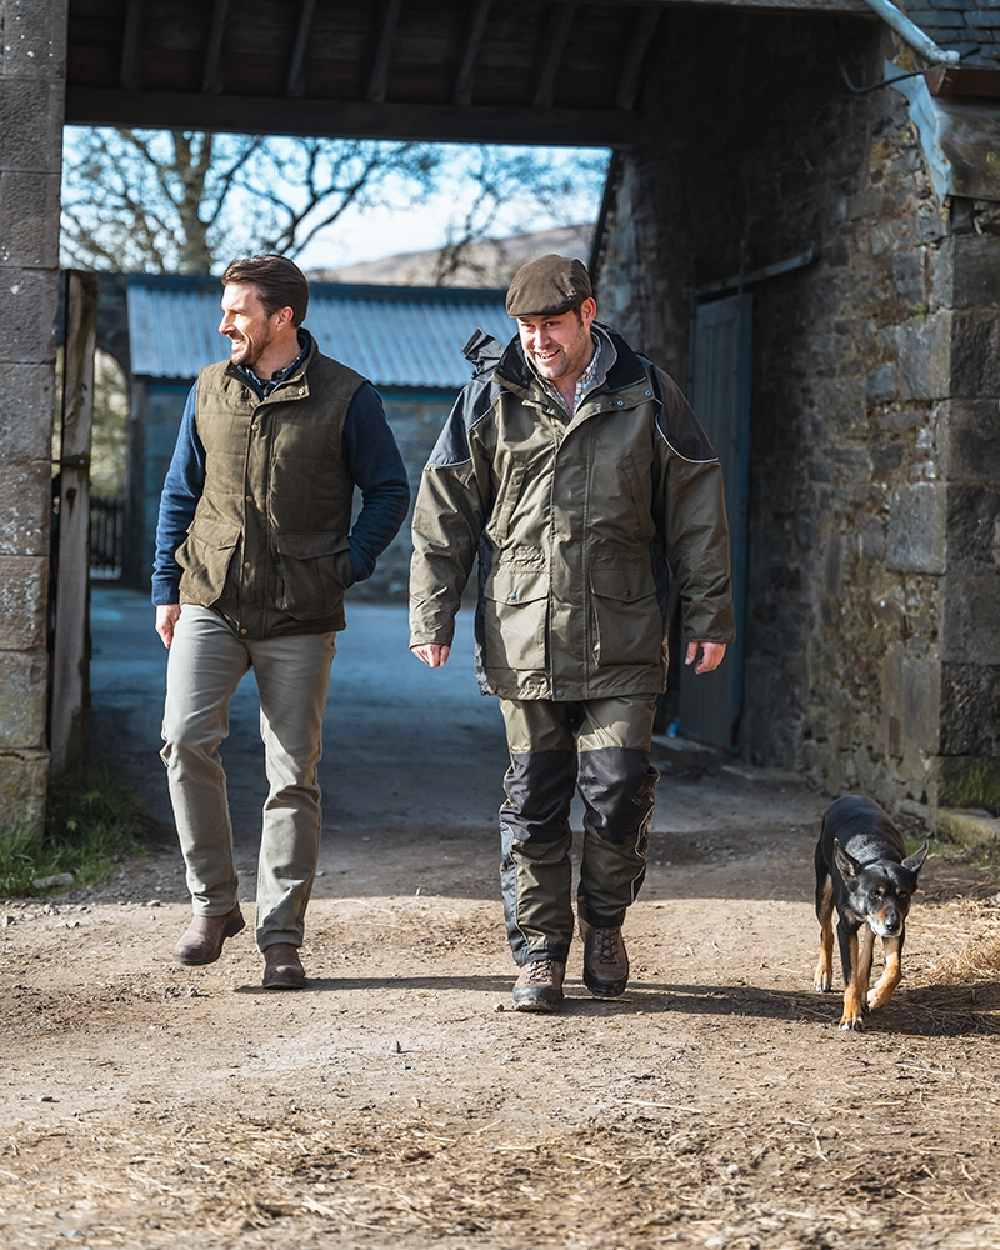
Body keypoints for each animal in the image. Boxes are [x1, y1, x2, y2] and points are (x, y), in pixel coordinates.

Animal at [810, 795, 930, 1030]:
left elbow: (894, 970)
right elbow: (850, 976)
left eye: (903, 895)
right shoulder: (846, 928)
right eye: (875, 894)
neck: (875, 854)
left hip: (874, 925)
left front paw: (875, 996)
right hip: (823, 891)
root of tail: (849, 796)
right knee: (826, 931)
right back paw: (824, 973)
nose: (892, 925)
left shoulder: (897, 927)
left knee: (866, 951)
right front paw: (850, 1016)